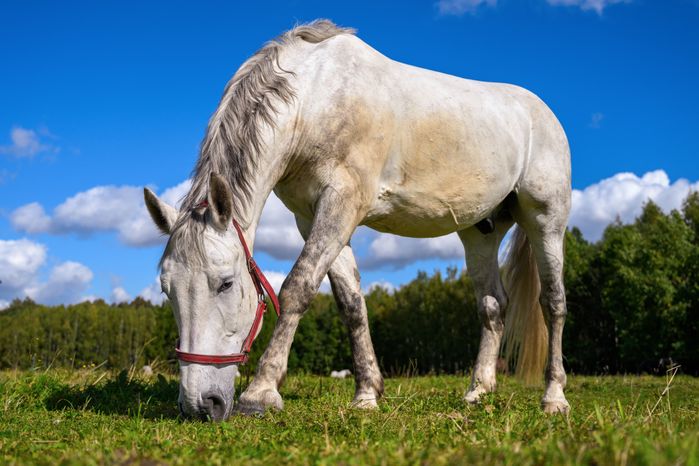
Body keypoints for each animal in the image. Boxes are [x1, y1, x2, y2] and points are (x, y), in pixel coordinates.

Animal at [144, 19, 571, 421]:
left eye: (226, 283)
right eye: (167, 290)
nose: (201, 405)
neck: (314, 99)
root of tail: (543, 113)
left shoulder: (342, 204)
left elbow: (298, 288)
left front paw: (261, 392)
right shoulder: (313, 217)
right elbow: (351, 304)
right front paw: (367, 394)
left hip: (546, 220)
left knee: (553, 301)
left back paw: (554, 398)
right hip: (479, 232)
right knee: (493, 306)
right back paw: (478, 391)